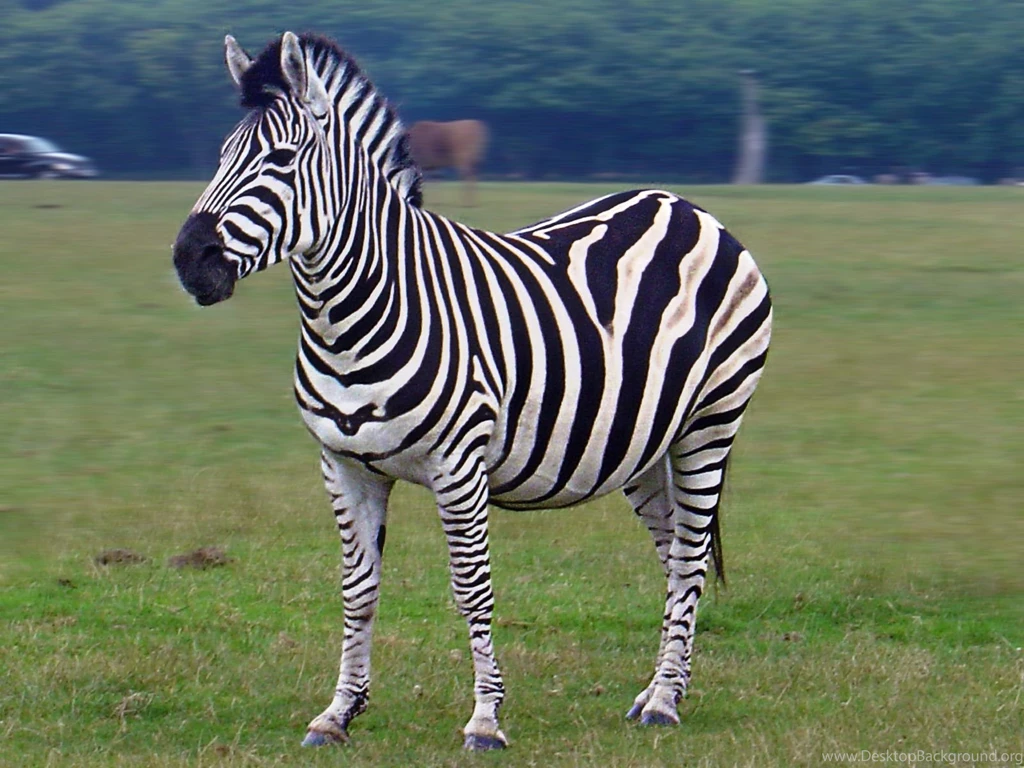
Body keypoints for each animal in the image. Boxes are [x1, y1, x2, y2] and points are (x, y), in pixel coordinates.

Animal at [172, 32, 772, 750]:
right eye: (221, 157)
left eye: (282, 159)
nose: (189, 261)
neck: (355, 313)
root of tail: (684, 205)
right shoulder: (343, 465)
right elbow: (357, 589)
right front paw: (338, 712)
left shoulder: (458, 465)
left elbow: (470, 589)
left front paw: (486, 719)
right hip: (646, 445)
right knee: (679, 554)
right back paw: (662, 690)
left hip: (712, 422)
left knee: (688, 556)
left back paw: (663, 703)